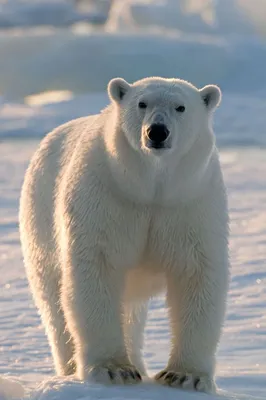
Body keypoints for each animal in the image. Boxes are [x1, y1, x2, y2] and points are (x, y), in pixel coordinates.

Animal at [19, 76, 230, 394]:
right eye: (142, 103)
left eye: (180, 107)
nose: (157, 131)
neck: (150, 188)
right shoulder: (106, 197)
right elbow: (97, 270)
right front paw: (112, 370)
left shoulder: (191, 203)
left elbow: (197, 275)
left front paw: (186, 377)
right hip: (39, 220)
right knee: (54, 303)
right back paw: (71, 369)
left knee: (130, 310)